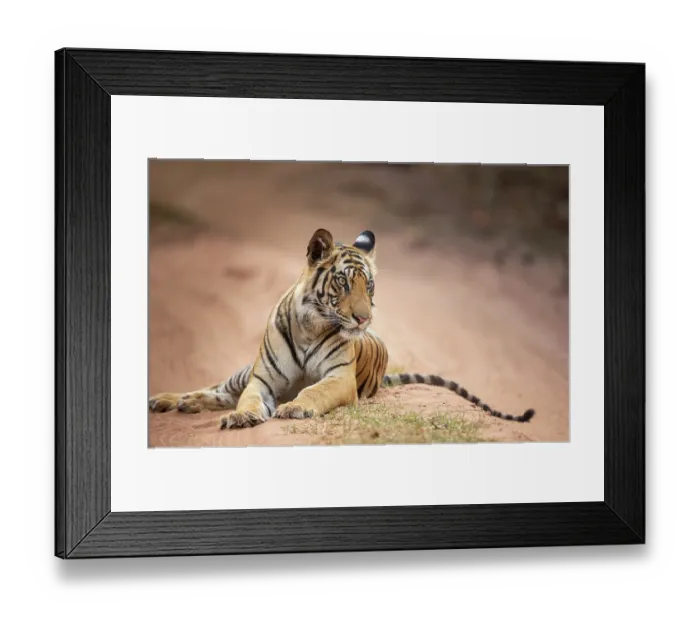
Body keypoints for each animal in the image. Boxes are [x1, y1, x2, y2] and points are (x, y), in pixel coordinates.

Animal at [148, 228, 536, 429]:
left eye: (370, 286)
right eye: (344, 283)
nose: (364, 319)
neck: (309, 326)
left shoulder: (339, 379)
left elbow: (313, 391)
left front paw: (294, 408)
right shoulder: (261, 379)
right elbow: (248, 399)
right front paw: (243, 416)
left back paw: (183, 405)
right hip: (242, 372)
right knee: (217, 389)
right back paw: (170, 400)